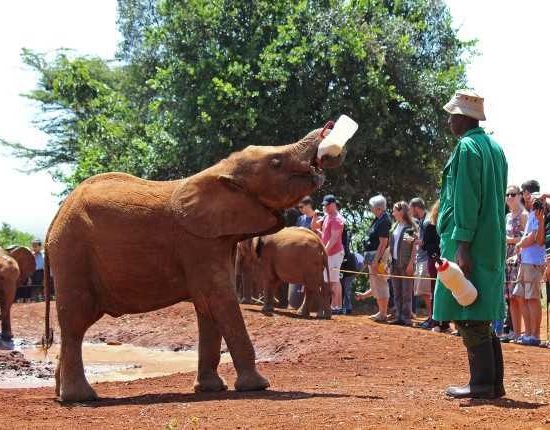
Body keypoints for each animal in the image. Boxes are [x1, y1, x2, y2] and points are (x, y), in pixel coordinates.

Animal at [44, 126, 344, 402]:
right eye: (276, 162)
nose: (329, 128)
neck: (221, 171)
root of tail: (53, 222)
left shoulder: (215, 242)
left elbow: (208, 307)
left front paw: (212, 388)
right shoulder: (198, 243)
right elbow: (219, 300)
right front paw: (258, 386)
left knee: (76, 326)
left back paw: (62, 393)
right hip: (72, 255)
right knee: (76, 323)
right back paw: (80, 398)